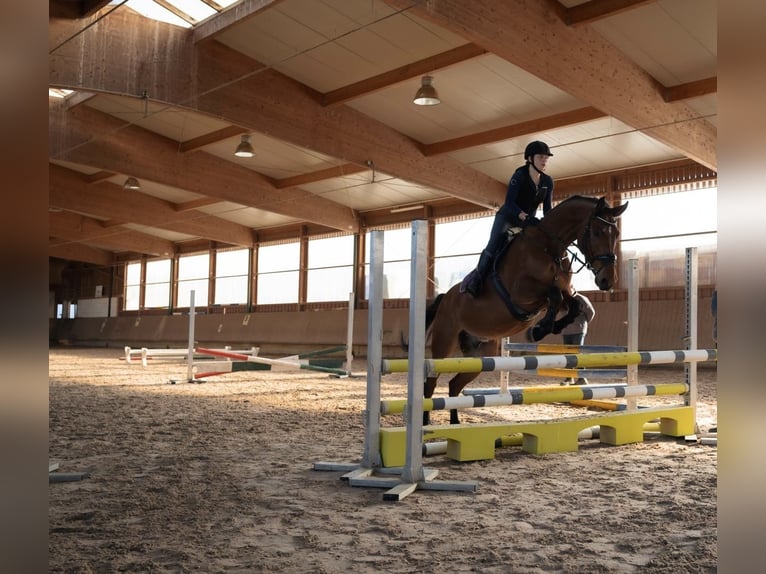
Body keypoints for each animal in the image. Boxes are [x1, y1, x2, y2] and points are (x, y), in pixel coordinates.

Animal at [426, 196, 632, 426]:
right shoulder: (521, 294)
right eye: (596, 232)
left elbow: (572, 304)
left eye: (616, 234)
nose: (607, 281)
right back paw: (426, 423)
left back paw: (455, 423)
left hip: (481, 355)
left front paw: (543, 328)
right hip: (444, 343)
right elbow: (554, 295)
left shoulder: (561, 292)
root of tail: (445, 297)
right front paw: (538, 330)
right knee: (430, 384)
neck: (549, 249)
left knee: (454, 385)